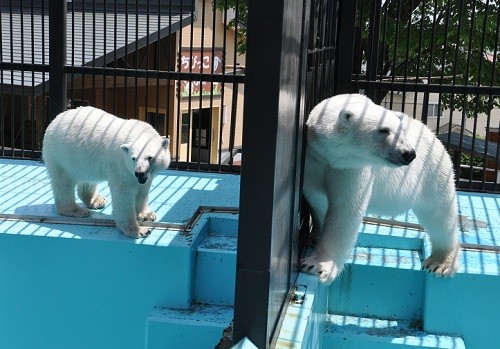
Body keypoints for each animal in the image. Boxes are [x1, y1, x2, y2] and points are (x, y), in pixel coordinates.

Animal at [41, 105, 170, 237]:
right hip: (59, 155)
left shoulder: (144, 177)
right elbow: (123, 194)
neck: (137, 131)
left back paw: (96, 201)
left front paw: (147, 214)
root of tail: (55, 120)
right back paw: (76, 210)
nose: (139, 173)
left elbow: (142, 191)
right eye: (133, 158)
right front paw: (137, 230)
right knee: (63, 182)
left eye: (150, 157)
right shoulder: (120, 166)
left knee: (87, 179)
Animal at [300, 93, 460, 282]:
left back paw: (440, 263)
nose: (409, 153)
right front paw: (316, 237)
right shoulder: (314, 161)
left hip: (433, 171)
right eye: (384, 130)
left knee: (439, 214)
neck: (332, 157)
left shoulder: (353, 169)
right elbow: (319, 201)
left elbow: (345, 211)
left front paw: (316, 266)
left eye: (402, 131)